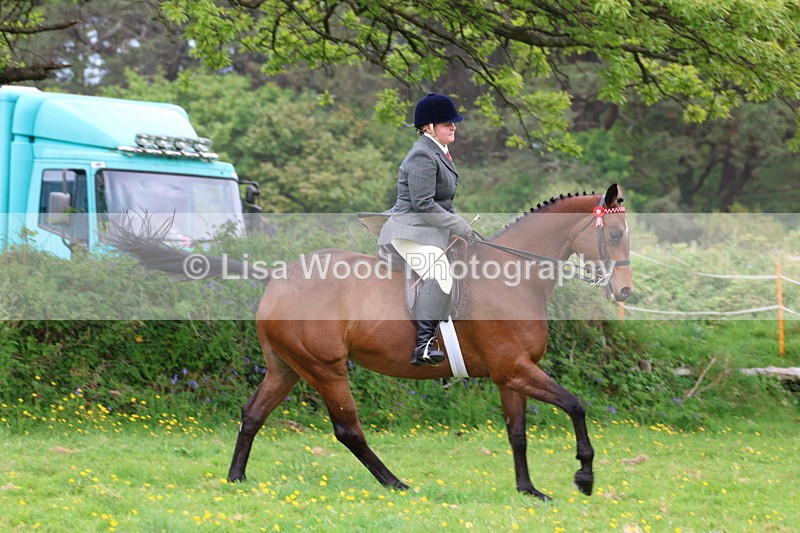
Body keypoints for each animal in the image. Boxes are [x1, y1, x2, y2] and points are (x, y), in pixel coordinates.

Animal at [111, 183, 632, 500]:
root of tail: (278, 275)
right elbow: (576, 404)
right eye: (617, 234)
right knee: (349, 430)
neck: (514, 275)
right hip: (325, 367)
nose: (625, 293)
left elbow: (518, 433)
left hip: (285, 367)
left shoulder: (511, 373)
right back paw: (396, 483)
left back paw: (237, 478)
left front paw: (529, 491)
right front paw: (584, 475)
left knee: (253, 413)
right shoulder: (515, 368)